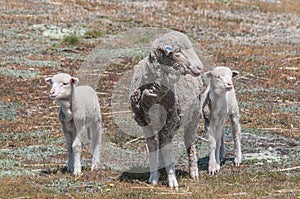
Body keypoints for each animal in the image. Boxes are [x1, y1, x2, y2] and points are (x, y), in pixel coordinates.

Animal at [129, 30, 204, 189]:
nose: (199, 68)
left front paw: (172, 180)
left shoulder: (170, 120)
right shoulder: (145, 122)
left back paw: (194, 171)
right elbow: (153, 147)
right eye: (177, 51)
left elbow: (167, 149)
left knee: (189, 141)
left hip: (194, 115)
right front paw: (153, 178)